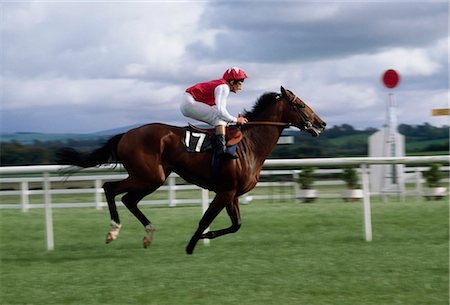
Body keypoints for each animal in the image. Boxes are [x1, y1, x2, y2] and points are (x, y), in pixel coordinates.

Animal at [58, 86, 326, 254]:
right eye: (301, 105)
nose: (321, 124)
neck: (249, 145)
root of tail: (126, 134)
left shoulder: (232, 194)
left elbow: (236, 225)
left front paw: (204, 237)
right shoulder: (225, 192)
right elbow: (206, 220)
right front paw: (192, 244)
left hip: (151, 177)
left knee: (128, 199)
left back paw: (148, 234)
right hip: (149, 176)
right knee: (110, 188)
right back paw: (113, 231)